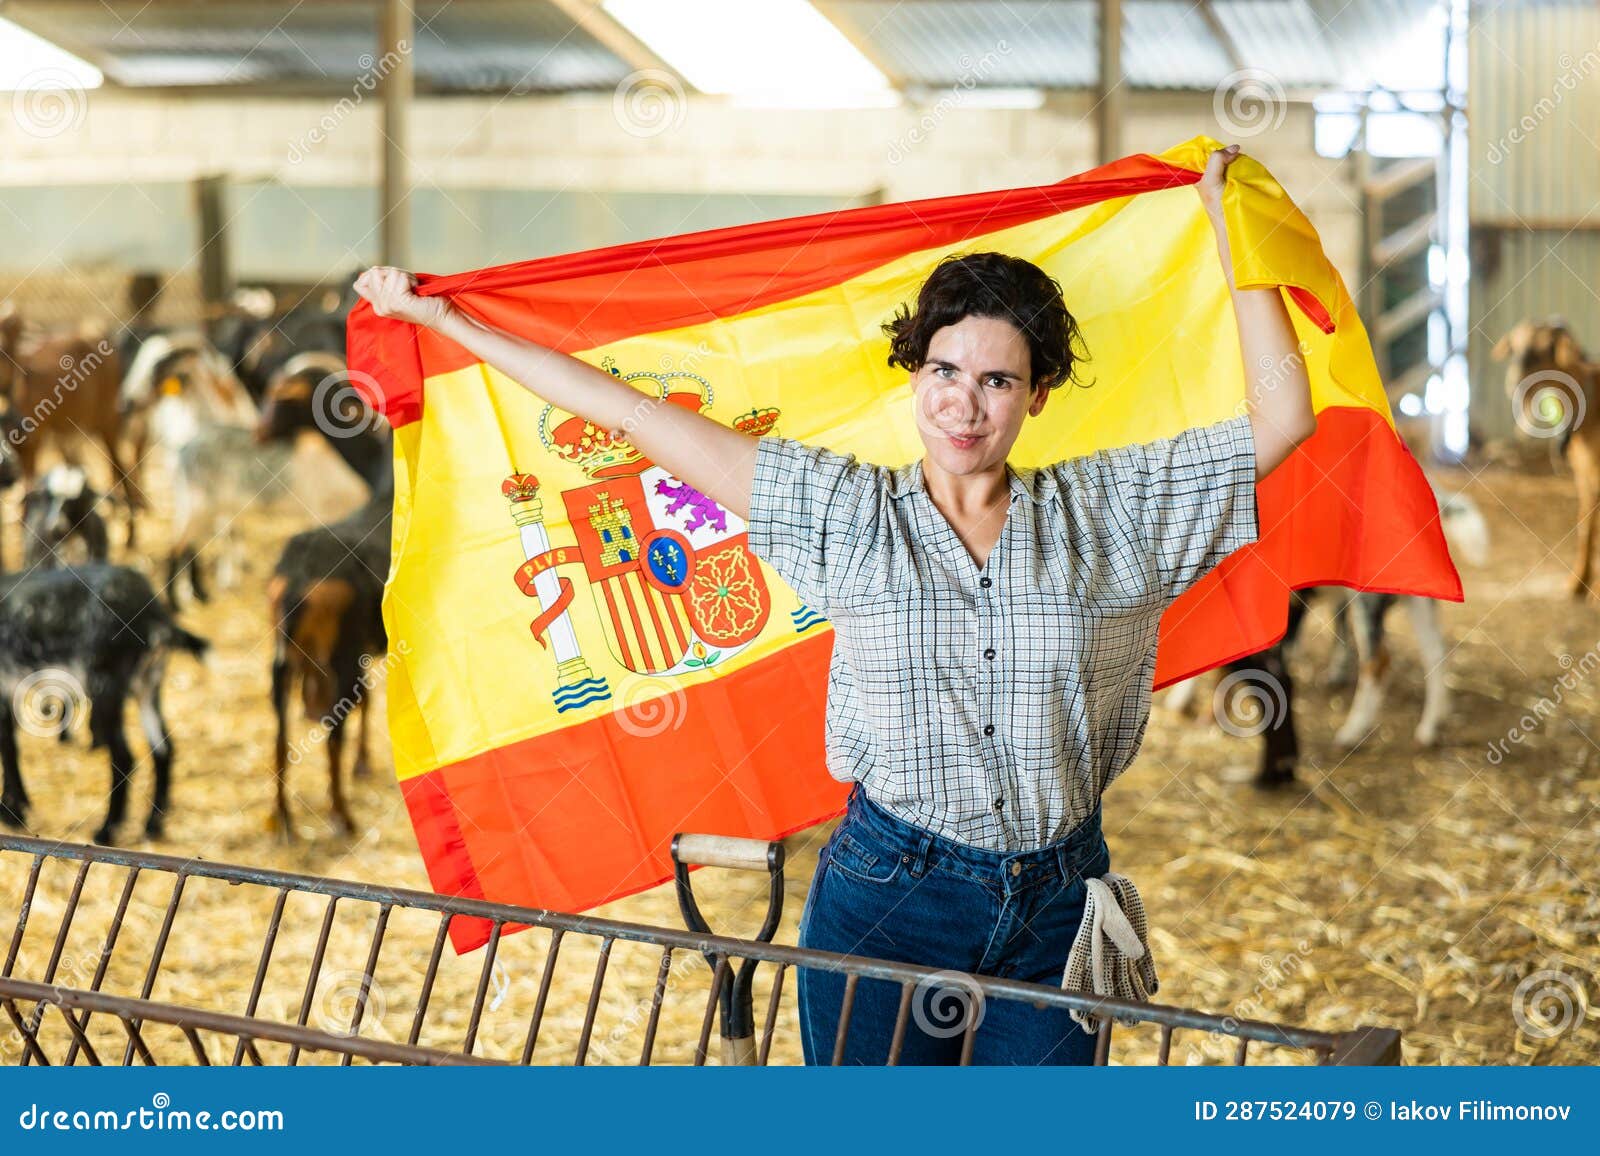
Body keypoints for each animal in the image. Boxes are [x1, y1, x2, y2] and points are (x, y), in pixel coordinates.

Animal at [0, 563, 209, 838]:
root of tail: (155, 612)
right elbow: (10, 748)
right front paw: (14, 808)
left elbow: (6, 749)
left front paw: (13, 814)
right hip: (148, 682)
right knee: (163, 748)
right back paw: (152, 825)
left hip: (105, 683)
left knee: (124, 755)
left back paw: (107, 828)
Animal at [1484, 317, 1600, 598]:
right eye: (1514, 347)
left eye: (1547, 349)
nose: (1514, 382)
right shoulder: (1584, 475)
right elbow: (1586, 525)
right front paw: (1577, 584)